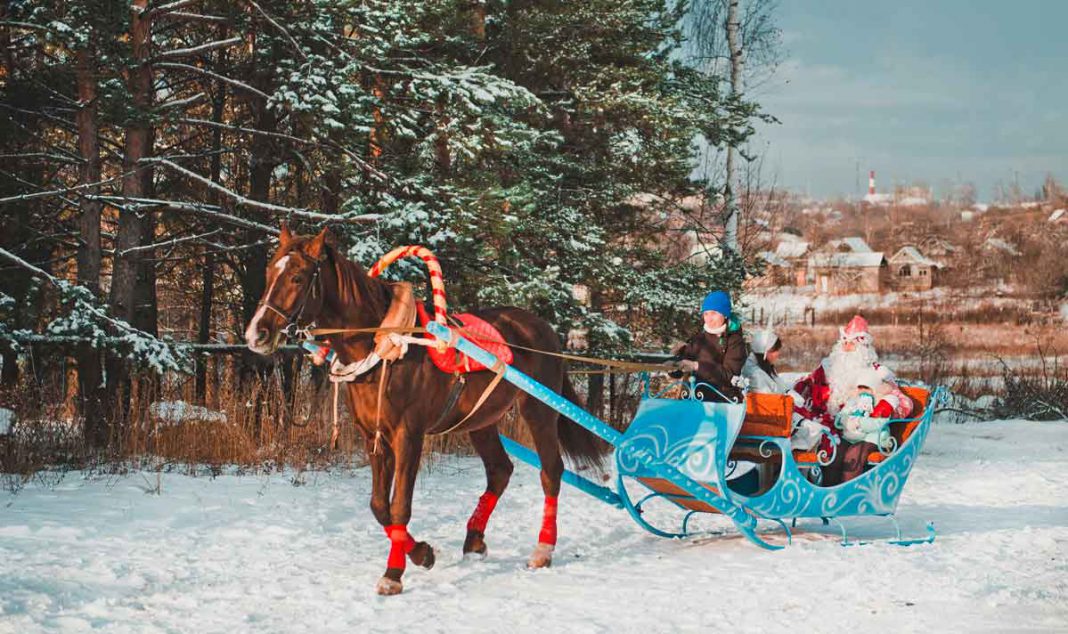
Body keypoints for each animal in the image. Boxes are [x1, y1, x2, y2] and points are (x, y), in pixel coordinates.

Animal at [244, 226, 606, 593]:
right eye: (269, 272)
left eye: (298, 277)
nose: (256, 334)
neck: (386, 347)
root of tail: (541, 327)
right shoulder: (373, 437)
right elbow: (379, 506)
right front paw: (421, 553)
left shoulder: (409, 435)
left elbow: (399, 506)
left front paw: (394, 573)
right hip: (480, 421)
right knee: (500, 470)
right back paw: (474, 539)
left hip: (539, 410)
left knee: (551, 471)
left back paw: (543, 549)